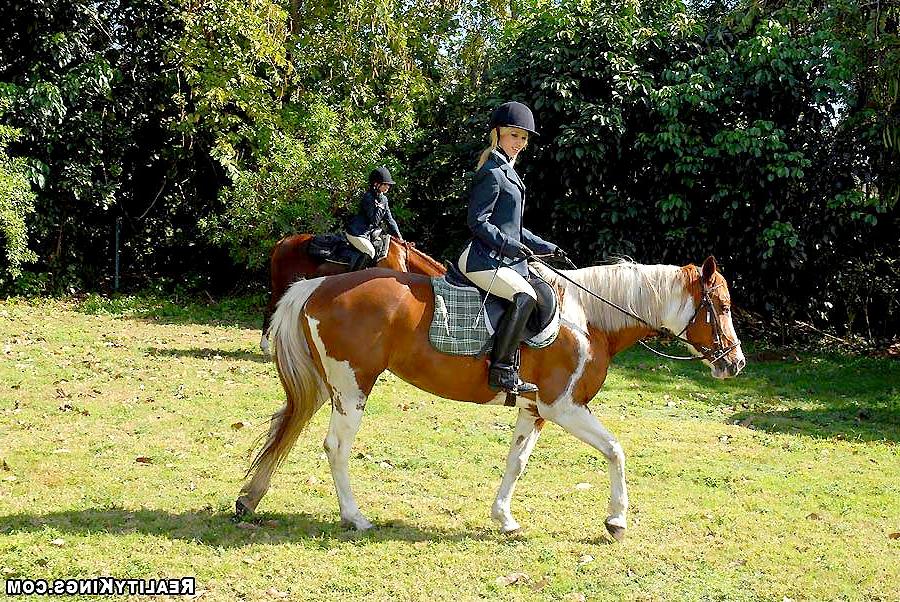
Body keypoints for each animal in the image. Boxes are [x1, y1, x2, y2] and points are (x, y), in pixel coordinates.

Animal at [238, 256, 745, 541]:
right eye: (720, 307)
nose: (735, 363)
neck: (589, 318)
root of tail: (318, 286)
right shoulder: (565, 407)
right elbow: (616, 450)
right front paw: (617, 521)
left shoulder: (534, 409)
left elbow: (515, 463)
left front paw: (504, 519)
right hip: (352, 387)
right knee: (336, 448)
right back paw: (355, 517)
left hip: (329, 386)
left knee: (289, 427)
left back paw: (250, 500)